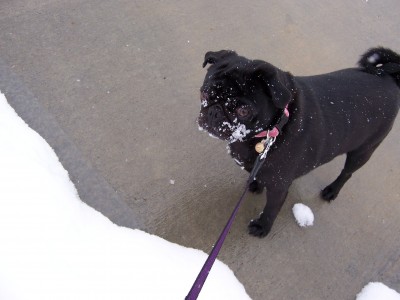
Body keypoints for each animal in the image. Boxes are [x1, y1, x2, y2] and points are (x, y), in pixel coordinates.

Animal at [198, 47, 400, 238]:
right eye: (204, 94)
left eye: (243, 111)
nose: (214, 112)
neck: (274, 129)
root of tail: (388, 76)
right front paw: (255, 184)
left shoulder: (279, 187)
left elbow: (271, 208)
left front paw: (262, 227)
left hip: (363, 151)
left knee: (347, 173)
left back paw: (332, 190)